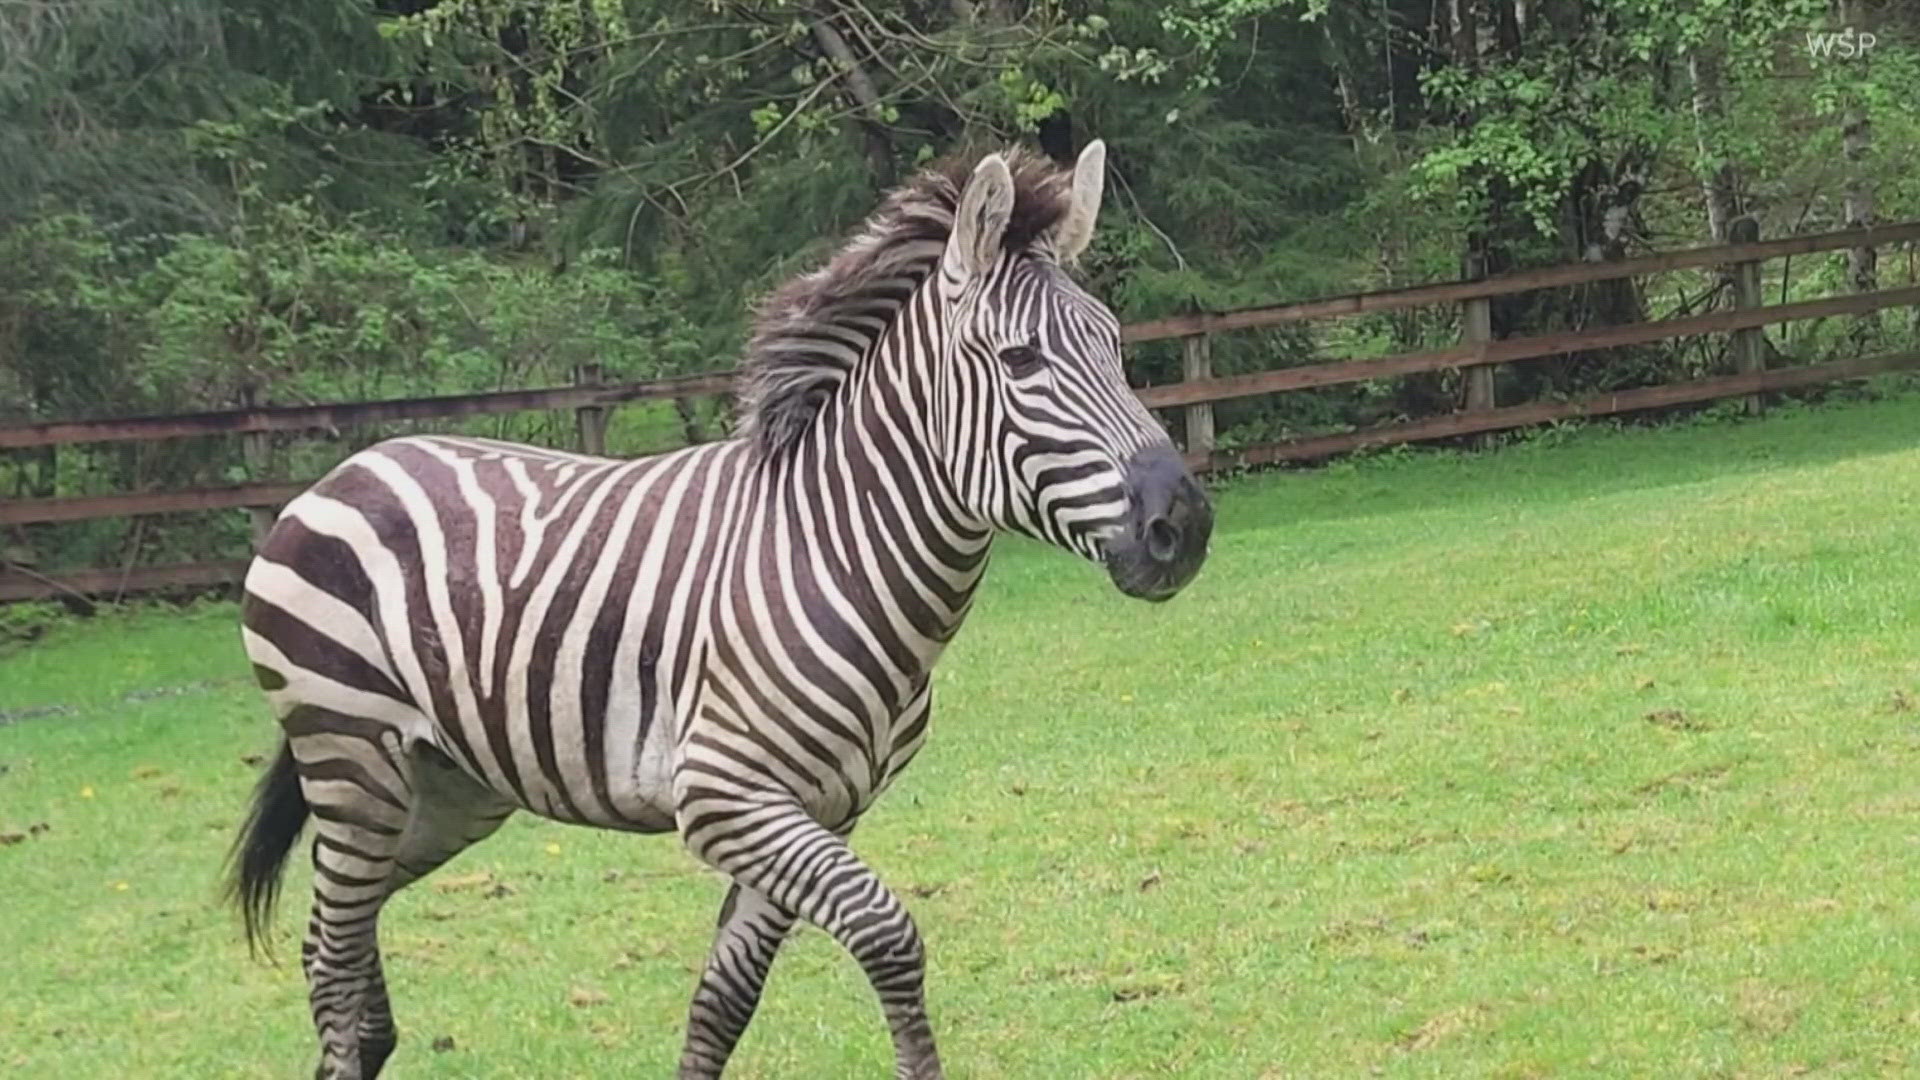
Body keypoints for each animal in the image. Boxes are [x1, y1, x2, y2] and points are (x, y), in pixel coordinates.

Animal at [228, 138, 1213, 1068]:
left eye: (1114, 344)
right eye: (1021, 360)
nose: (1187, 523)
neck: (837, 555)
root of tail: (347, 468)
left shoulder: (818, 807)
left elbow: (724, 1002)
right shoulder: (724, 795)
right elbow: (888, 932)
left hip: (444, 788)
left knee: (338, 935)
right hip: (351, 755)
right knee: (331, 956)